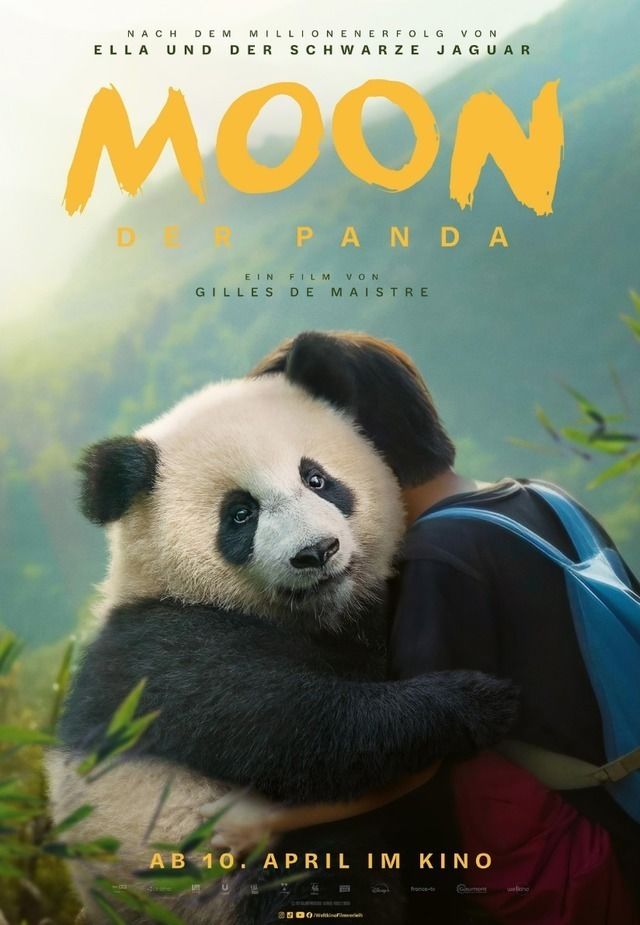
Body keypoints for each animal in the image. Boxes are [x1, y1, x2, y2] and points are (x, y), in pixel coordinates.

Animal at [47, 361, 518, 925]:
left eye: (316, 478)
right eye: (240, 514)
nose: (317, 551)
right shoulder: (163, 650)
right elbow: (296, 727)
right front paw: (476, 701)